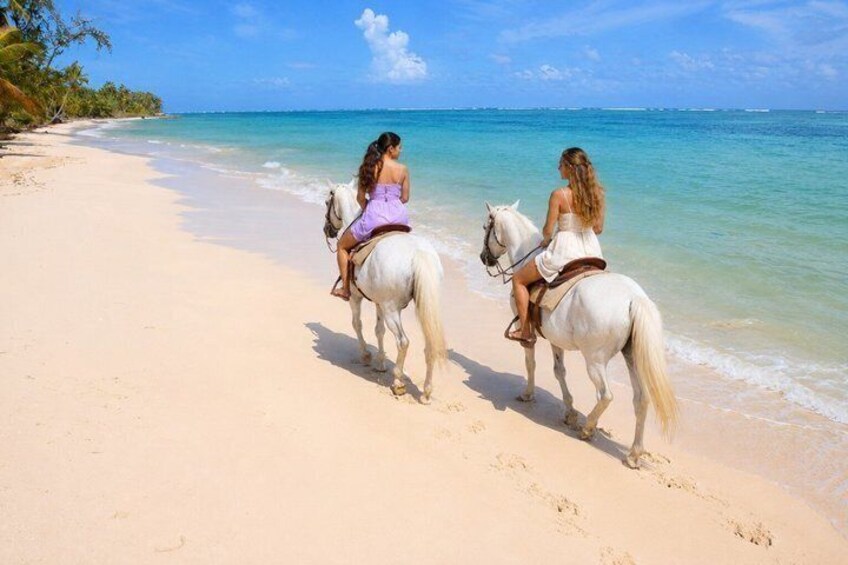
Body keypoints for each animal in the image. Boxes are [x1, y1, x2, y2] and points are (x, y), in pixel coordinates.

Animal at [323, 180, 447, 403]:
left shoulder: (356, 298)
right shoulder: (379, 302)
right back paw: (426, 391)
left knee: (403, 342)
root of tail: (418, 253)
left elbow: (357, 324)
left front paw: (366, 356)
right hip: (424, 305)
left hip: (392, 310)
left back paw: (398, 382)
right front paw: (380, 362)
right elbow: (378, 330)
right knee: (430, 344)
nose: (327, 230)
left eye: (327, 202)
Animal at [479, 201, 678, 468]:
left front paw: (529, 395)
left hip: (595, 360)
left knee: (606, 395)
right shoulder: (555, 338)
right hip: (632, 357)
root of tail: (633, 298)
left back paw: (588, 428)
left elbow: (531, 364)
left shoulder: (529, 333)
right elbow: (559, 371)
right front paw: (569, 412)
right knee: (641, 399)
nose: (484, 258)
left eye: (486, 227)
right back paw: (634, 453)